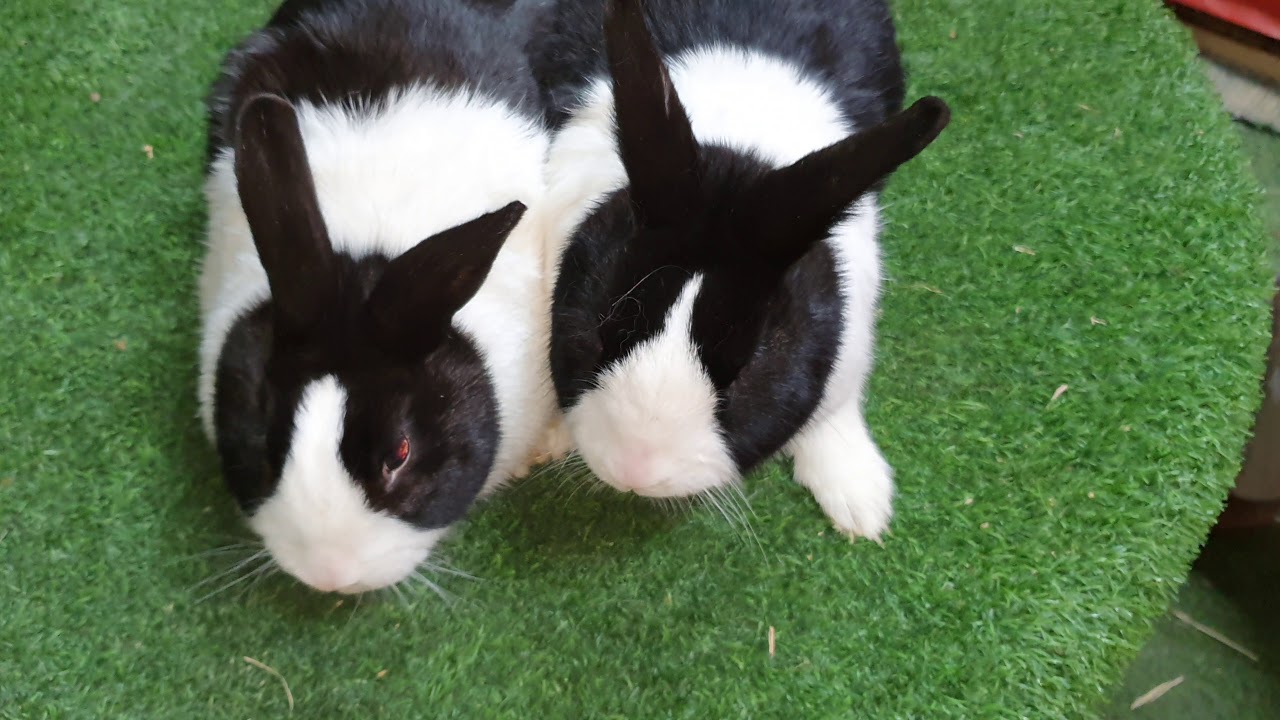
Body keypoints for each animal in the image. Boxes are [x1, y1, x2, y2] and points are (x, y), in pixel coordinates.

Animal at [528, 0, 949, 540]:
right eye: (596, 331)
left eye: (749, 369)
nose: (636, 473)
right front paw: (545, 438)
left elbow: (837, 403)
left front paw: (861, 503)